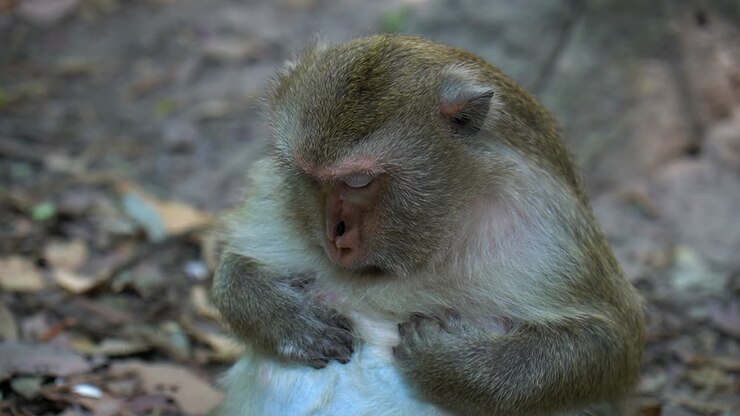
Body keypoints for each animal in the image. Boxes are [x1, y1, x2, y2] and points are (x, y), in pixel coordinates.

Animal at [210, 34, 645, 416]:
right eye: (310, 176)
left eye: (358, 181)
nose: (335, 231)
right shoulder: (278, 192)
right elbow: (233, 266)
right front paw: (287, 319)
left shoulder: (542, 226)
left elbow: (609, 342)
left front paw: (446, 364)